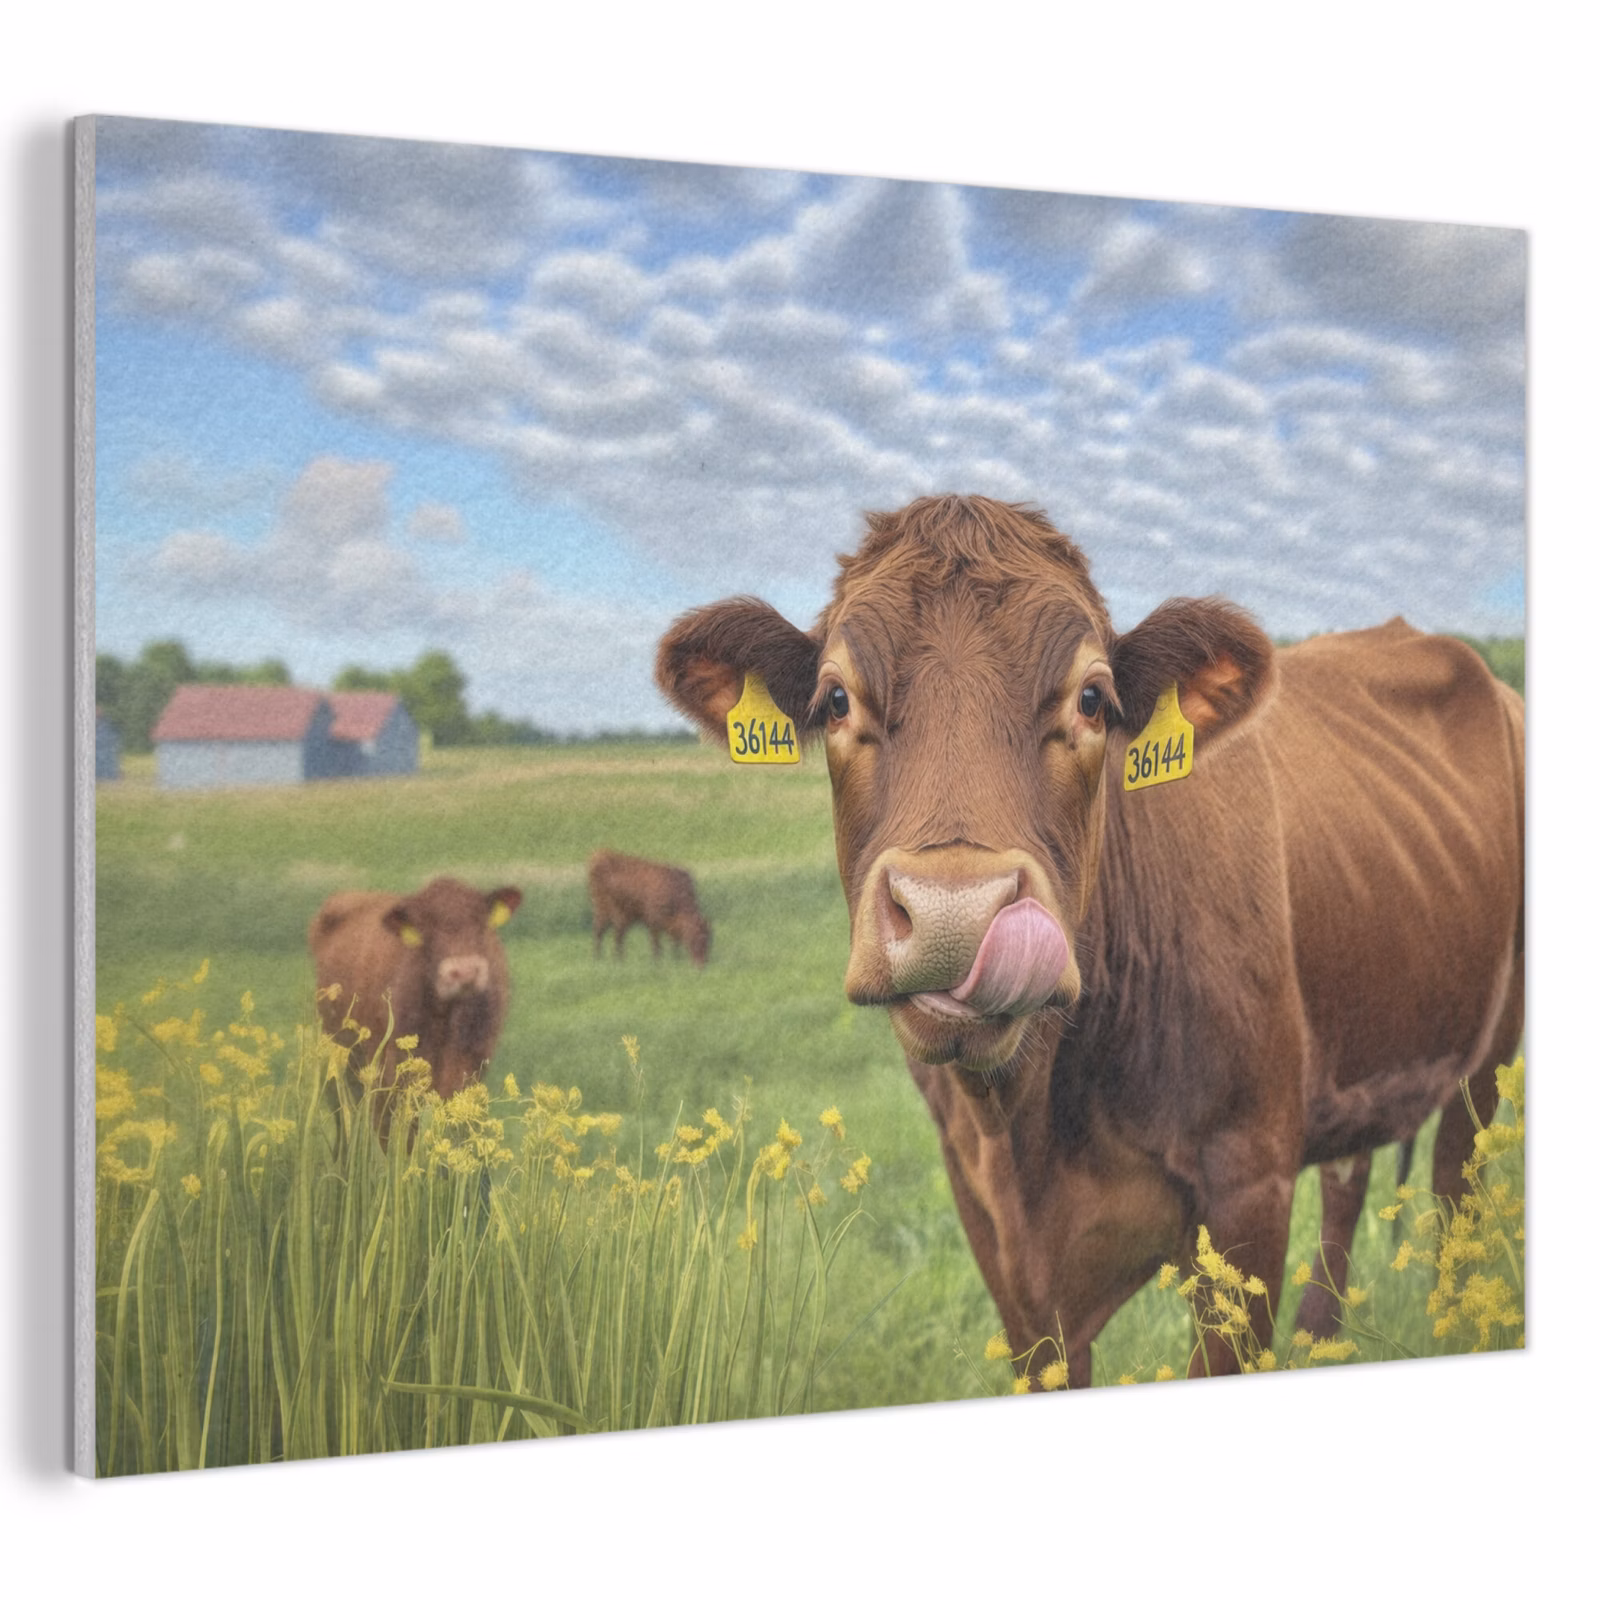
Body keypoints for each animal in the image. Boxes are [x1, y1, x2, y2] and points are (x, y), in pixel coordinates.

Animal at [656, 495, 1523, 1384]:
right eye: (835, 700)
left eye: (1094, 700)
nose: (955, 914)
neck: (1034, 1121)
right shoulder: (992, 1222)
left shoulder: (1248, 1185)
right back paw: (1324, 1335)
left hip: (1488, 1058)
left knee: (1455, 1185)